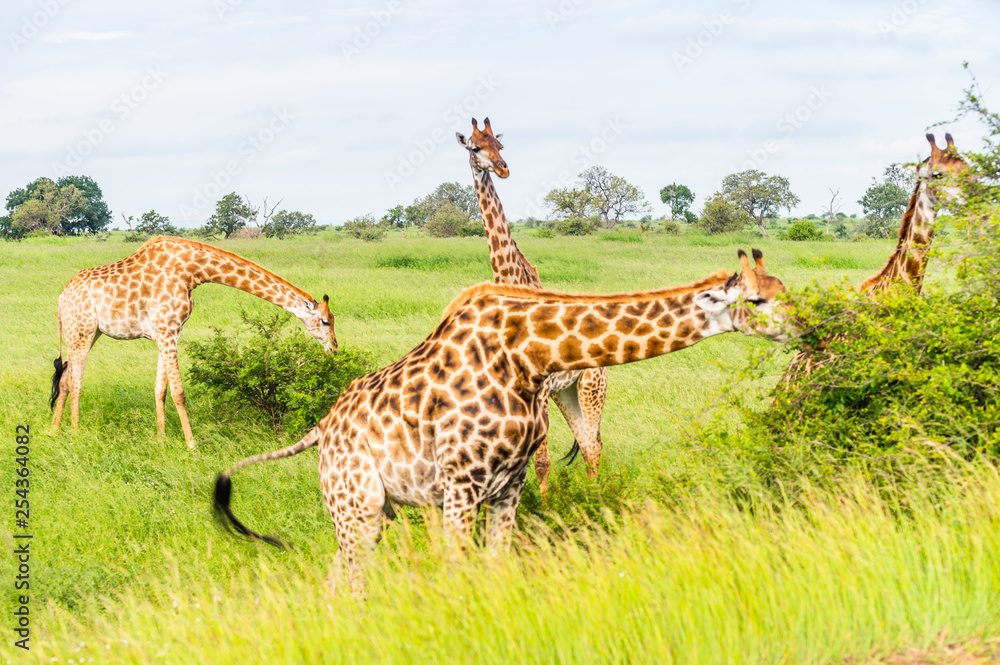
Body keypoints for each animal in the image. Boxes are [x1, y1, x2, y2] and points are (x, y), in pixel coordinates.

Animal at [50, 235, 336, 447]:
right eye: (325, 321)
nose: (334, 349)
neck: (192, 271)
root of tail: (61, 300)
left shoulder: (169, 331)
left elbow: (160, 389)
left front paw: (161, 439)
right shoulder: (166, 330)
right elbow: (179, 392)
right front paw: (191, 444)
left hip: (86, 333)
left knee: (63, 379)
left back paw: (54, 430)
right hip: (82, 331)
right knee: (75, 382)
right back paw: (75, 434)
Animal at [214, 249, 788, 596]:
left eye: (784, 289)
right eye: (757, 300)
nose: (802, 323)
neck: (529, 355)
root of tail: (320, 429)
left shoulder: (508, 484)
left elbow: (495, 568)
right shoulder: (460, 486)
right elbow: (455, 574)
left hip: (372, 510)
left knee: (338, 579)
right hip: (357, 504)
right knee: (353, 581)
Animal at [456, 116, 610, 491]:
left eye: (500, 145)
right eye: (475, 147)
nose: (503, 168)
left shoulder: (537, 390)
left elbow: (540, 461)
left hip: (591, 387)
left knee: (594, 443)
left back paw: (597, 495)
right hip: (565, 393)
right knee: (587, 443)